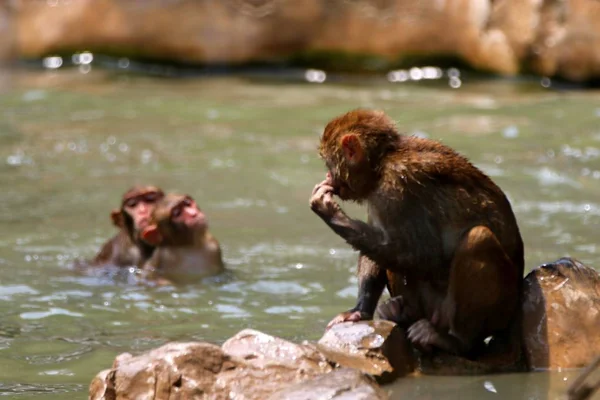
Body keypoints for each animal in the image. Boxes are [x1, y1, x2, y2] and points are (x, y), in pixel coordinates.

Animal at [310, 108, 524, 362]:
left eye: (329, 163)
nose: (327, 176)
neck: (382, 163)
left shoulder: (395, 187)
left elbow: (423, 255)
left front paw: (329, 211)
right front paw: (359, 311)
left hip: (495, 310)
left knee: (477, 238)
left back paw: (457, 341)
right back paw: (401, 314)